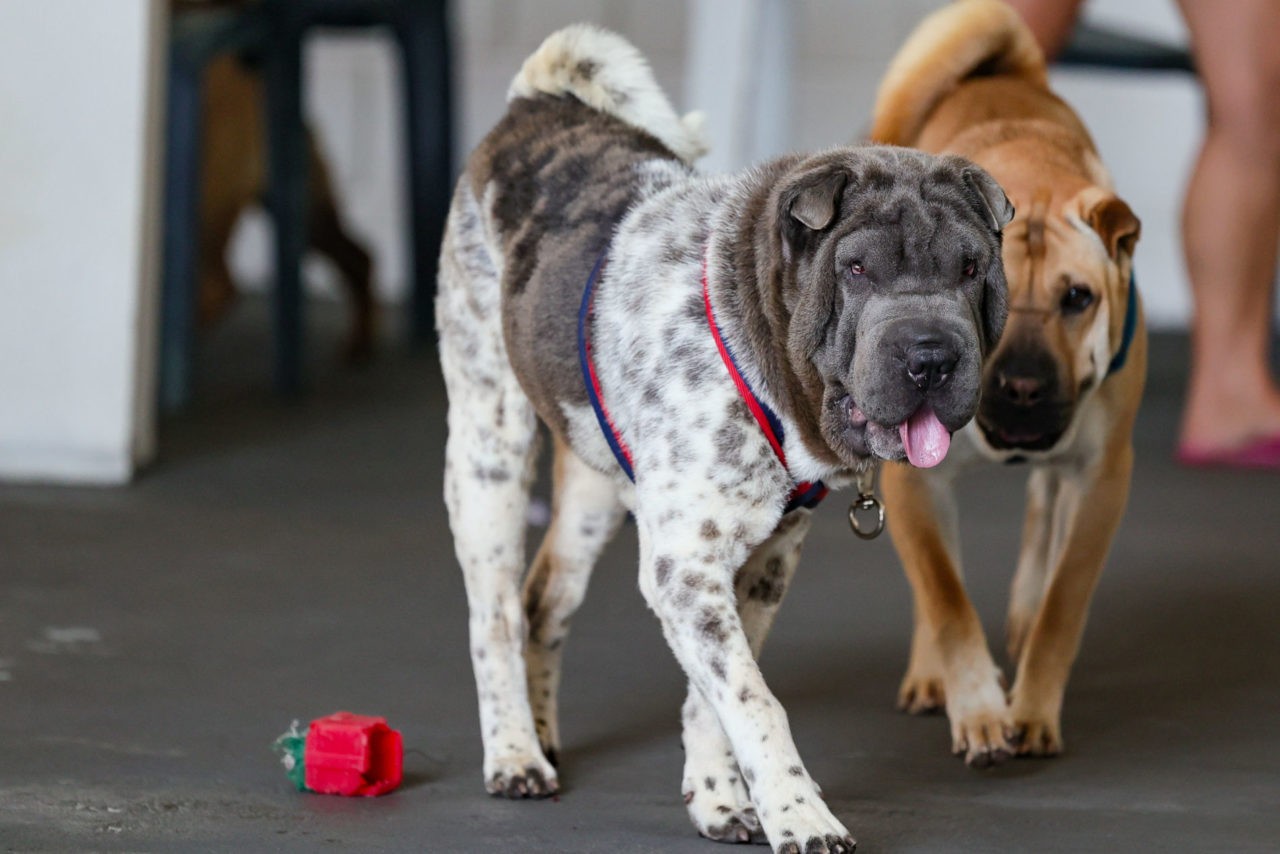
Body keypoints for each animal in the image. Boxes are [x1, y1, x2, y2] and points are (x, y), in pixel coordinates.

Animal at [435, 23, 1013, 850]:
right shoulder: (686, 567)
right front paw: (800, 815)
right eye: (857, 269)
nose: (932, 356)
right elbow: (754, 699)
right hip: (489, 452)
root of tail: (535, 102)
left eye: (971, 268)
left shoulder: (762, 563)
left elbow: (715, 695)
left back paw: (542, 734)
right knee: (497, 616)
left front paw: (718, 798)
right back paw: (515, 752)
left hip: (593, 491)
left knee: (544, 602)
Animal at [870, 0, 1152, 763]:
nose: (1022, 385)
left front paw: (1030, 707)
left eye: (1078, 298)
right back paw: (929, 674)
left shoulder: (1102, 479)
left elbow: (1063, 604)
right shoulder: (910, 483)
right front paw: (976, 706)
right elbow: (944, 596)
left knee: (1040, 511)